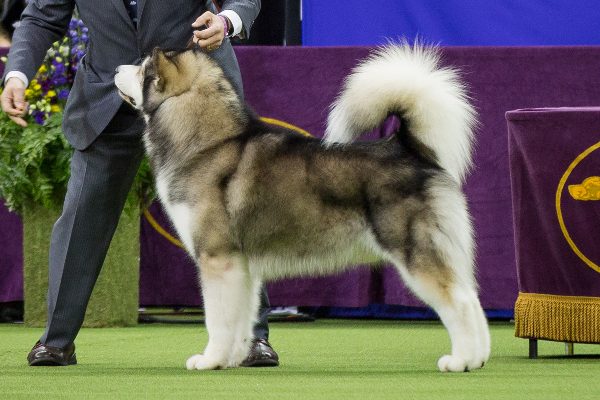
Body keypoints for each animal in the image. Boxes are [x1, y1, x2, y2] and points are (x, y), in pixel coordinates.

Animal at [115, 43, 490, 372]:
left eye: (142, 68)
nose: (116, 69)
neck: (208, 143)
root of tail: (408, 149)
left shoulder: (218, 259)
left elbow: (217, 319)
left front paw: (210, 360)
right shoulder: (241, 267)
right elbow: (240, 319)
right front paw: (233, 359)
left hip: (416, 252)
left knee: (458, 303)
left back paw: (460, 361)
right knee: (472, 298)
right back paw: (478, 358)